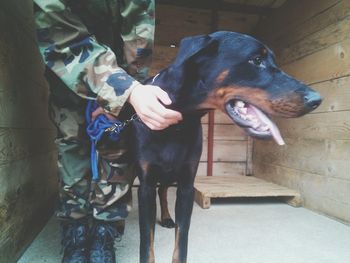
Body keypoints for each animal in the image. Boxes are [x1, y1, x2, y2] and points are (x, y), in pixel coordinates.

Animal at [121, 31, 322, 263]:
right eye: (256, 60)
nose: (317, 99)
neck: (178, 125)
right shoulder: (145, 184)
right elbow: (147, 241)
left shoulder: (187, 184)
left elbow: (182, 239)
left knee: (163, 190)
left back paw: (166, 217)